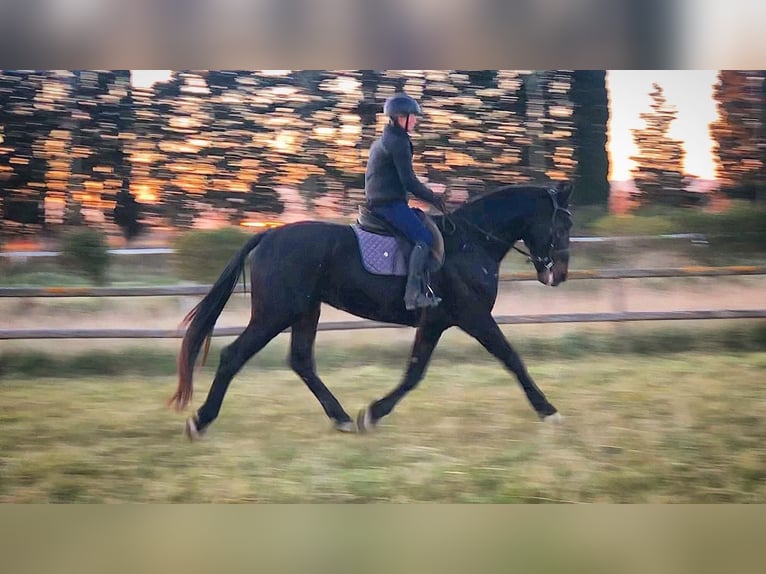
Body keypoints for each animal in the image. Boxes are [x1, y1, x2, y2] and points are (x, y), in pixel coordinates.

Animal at [171, 182, 572, 438]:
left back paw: (342, 418)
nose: (559, 274)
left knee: (301, 361)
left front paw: (372, 413)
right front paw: (549, 411)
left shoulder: (436, 321)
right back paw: (201, 421)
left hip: (305, 312)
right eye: (562, 224)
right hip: (276, 313)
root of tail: (268, 234)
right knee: (233, 356)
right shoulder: (472, 316)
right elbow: (511, 358)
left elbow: (413, 373)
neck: (471, 242)